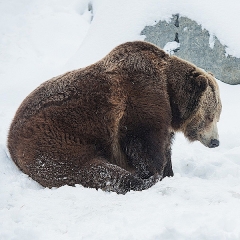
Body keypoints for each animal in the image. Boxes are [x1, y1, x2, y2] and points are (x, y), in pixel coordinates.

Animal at [7, 41, 221, 194]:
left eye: (218, 115)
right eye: (211, 116)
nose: (216, 142)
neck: (169, 92)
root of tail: (10, 136)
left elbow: (165, 145)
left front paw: (169, 172)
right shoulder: (141, 98)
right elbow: (143, 143)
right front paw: (155, 174)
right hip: (56, 140)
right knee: (90, 170)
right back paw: (136, 182)